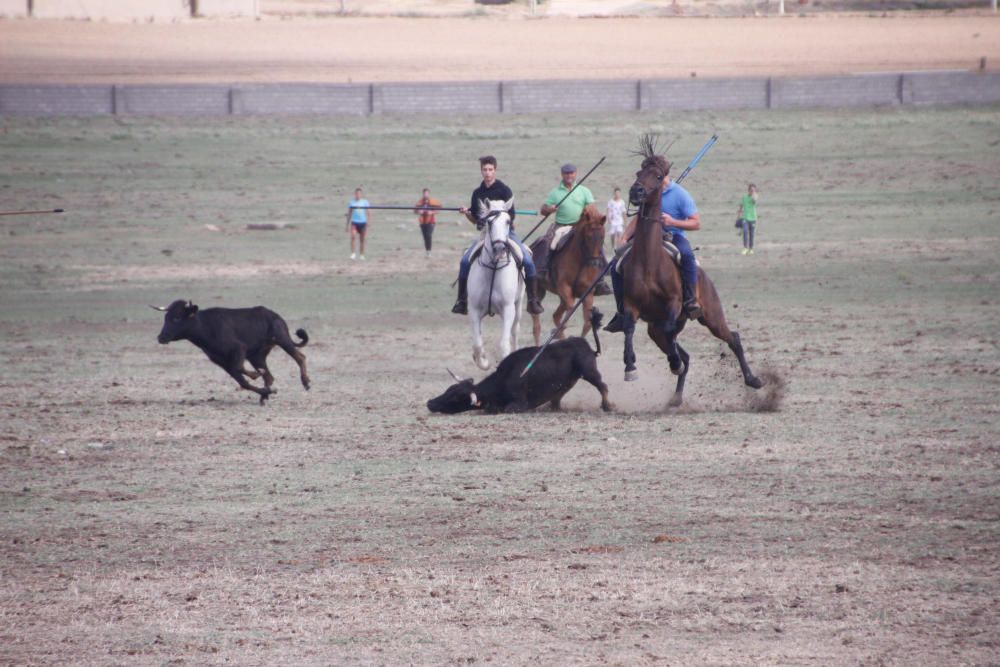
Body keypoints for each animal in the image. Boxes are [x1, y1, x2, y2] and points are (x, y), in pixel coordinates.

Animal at [468, 198, 528, 370]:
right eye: (489, 222)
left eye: (508, 221)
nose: (500, 248)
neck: (493, 270)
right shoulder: (474, 310)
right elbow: (477, 344)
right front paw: (483, 361)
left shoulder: (508, 309)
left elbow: (504, 344)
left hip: (518, 306)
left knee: (515, 331)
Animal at [528, 205, 604, 344]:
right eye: (588, 236)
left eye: (602, 237)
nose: (595, 263)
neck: (579, 259)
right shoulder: (564, 287)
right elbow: (569, 309)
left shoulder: (587, 293)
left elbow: (587, 323)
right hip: (537, 291)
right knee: (536, 324)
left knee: (556, 315)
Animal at [616, 136, 764, 408]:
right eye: (639, 173)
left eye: (658, 175)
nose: (636, 192)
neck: (650, 262)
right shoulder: (631, 305)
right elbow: (629, 329)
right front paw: (630, 367)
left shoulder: (674, 304)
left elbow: (671, 333)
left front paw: (672, 363)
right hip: (653, 329)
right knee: (681, 351)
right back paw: (676, 395)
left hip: (711, 316)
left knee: (733, 338)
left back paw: (753, 380)